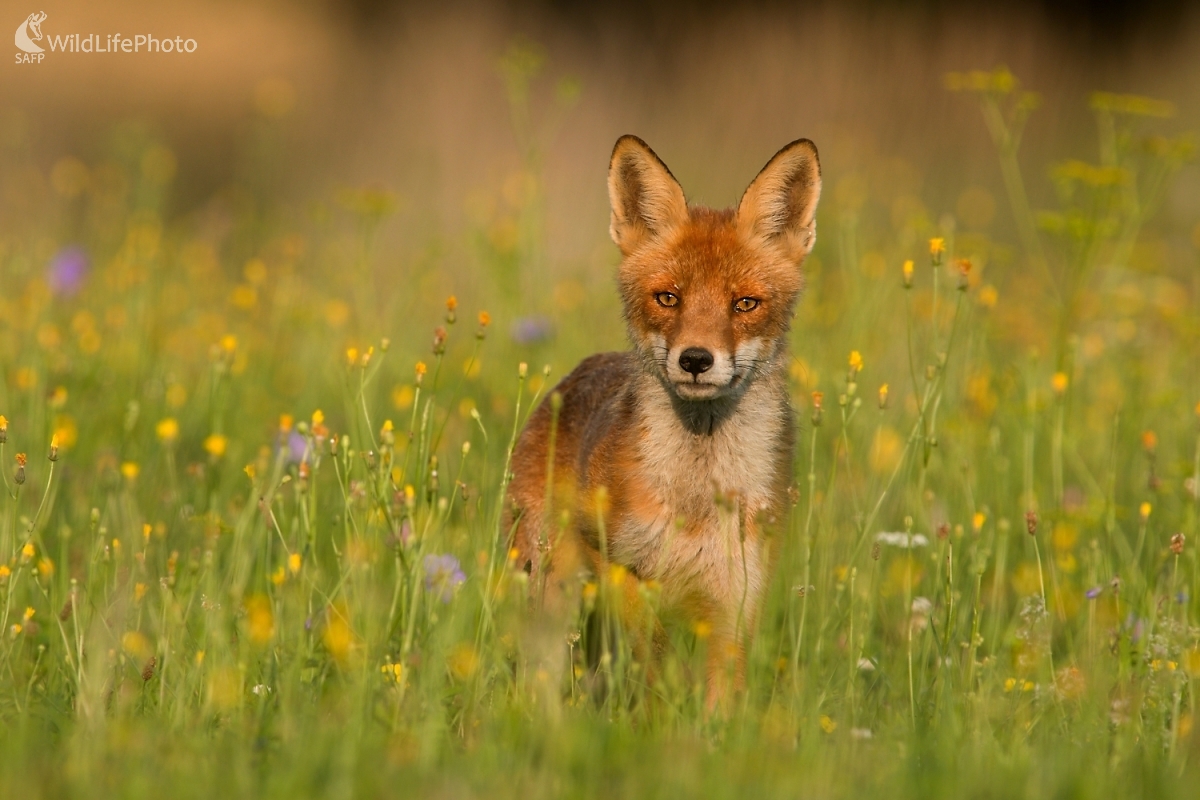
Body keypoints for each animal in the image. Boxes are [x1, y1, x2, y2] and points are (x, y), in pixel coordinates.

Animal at [501, 134, 820, 710]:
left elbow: (720, 701)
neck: (697, 495)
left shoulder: (740, 593)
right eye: (668, 298)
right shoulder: (626, 571)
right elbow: (653, 670)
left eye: (745, 304)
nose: (695, 359)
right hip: (547, 595)